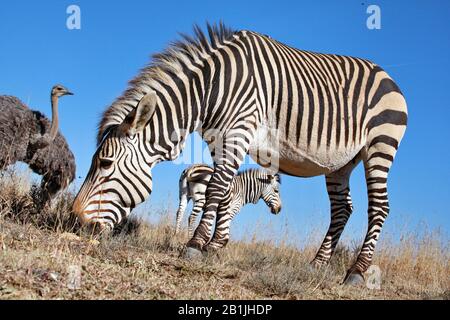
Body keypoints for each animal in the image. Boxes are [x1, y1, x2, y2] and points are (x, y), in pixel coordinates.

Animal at [73, 23, 408, 284]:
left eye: (105, 163)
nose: (76, 221)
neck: (210, 89)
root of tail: (388, 76)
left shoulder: (237, 133)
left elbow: (216, 189)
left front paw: (195, 245)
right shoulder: (219, 140)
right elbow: (221, 192)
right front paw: (214, 245)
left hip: (379, 146)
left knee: (379, 207)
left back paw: (356, 272)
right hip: (340, 163)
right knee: (342, 210)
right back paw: (317, 265)